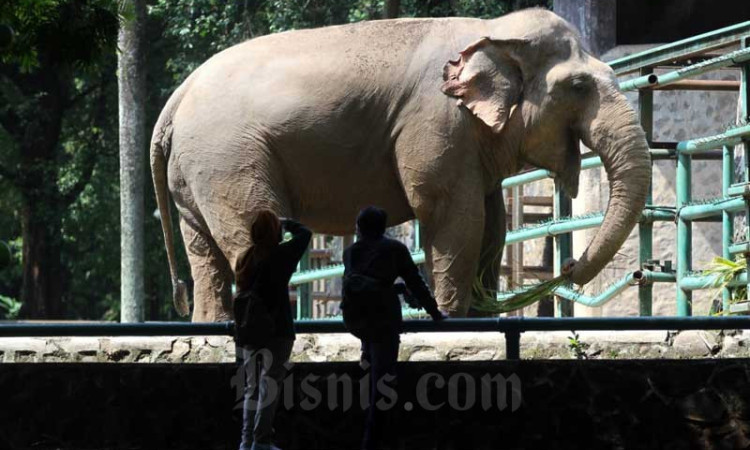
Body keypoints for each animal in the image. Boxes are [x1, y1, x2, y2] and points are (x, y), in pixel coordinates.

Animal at [151, 8, 652, 322]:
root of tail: (176, 98)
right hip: (227, 158)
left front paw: (479, 312)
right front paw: (452, 318)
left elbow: (492, 225)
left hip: (198, 174)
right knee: (255, 237)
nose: (568, 268)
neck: (491, 31)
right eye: (580, 86)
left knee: (205, 254)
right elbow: (454, 218)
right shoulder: (437, 122)